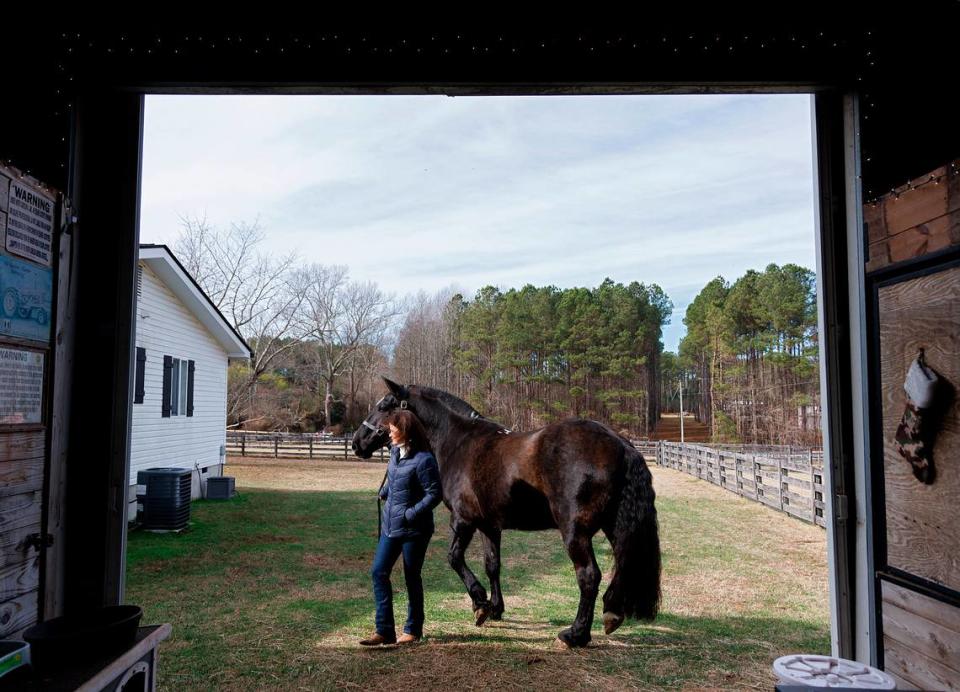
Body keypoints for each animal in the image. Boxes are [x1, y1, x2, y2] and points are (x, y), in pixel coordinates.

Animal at [352, 378, 660, 648]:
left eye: (385, 406)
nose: (357, 442)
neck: (459, 442)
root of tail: (620, 443)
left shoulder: (463, 521)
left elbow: (454, 558)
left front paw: (479, 603)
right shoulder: (489, 525)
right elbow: (493, 564)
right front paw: (495, 608)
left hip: (575, 531)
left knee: (589, 576)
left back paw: (575, 634)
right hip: (614, 526)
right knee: (623, 562)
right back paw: (612, 613)